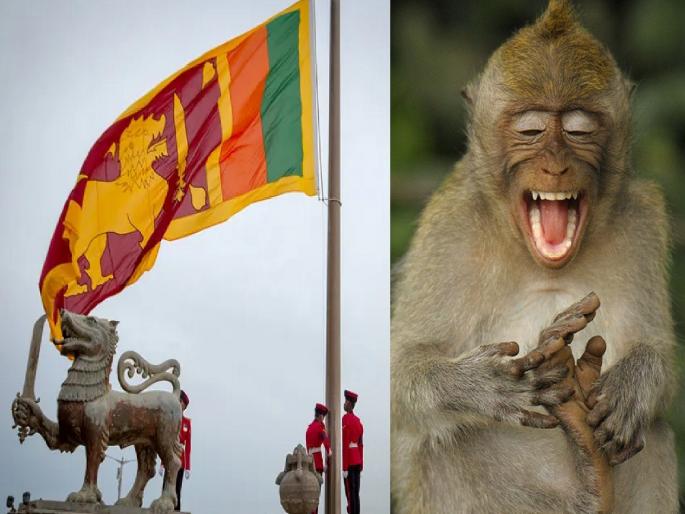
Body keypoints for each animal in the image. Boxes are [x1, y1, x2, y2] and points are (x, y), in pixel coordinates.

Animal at [390, 1, 677, 513]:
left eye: (579, 130)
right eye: (531, 130)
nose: (556, 165)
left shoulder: (642, 219)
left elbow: (657, 346)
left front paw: (634, 385)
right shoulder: (448, 226)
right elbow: (403, 374)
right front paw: (483, 384)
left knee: (656, 433)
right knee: (444, 447)